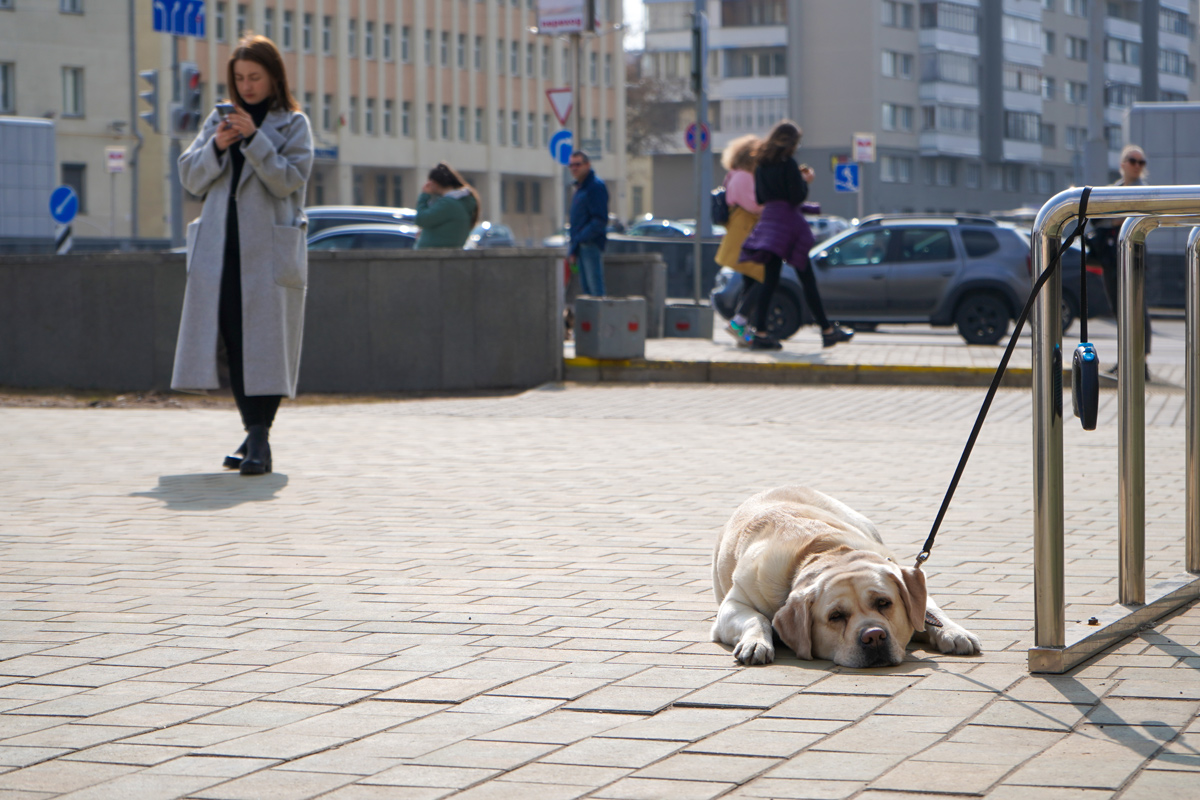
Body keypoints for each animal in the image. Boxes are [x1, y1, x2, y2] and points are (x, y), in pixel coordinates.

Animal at [705, 489, 979, 671]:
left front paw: (953, 632)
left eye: (884, 603)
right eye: (835, 616)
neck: (821, 551)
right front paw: (756, 643)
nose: (874, 636)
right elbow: (758, 618)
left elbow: (930, 611)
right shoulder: (734, 604)